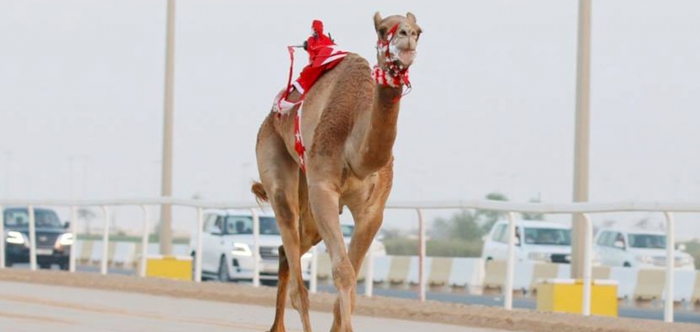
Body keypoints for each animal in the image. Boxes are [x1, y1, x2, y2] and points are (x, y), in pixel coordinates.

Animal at [252, 11, 422, 332]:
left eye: (419, 31)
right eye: (383, 30)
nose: (406, 36)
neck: (356, 153)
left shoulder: (373, 210)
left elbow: (352, 284)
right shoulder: (324, 190)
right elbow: (343, 272)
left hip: (309, 204)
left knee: (285, 253)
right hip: (274, 158)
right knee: (297, 282)